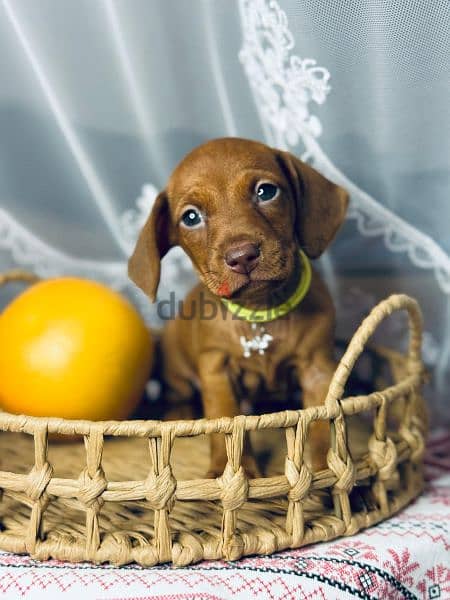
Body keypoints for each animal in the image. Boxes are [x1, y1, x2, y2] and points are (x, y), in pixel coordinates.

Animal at [128, 137, 350, 478]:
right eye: (191, 217)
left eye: (266, 191)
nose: (242, 256)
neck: (261, 313)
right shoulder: (216, 369)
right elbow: (226, 422)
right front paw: (228, 469)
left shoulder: (317, 368)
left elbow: (322, 423)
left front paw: (329, 468)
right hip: (177, 367)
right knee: (177, 394)